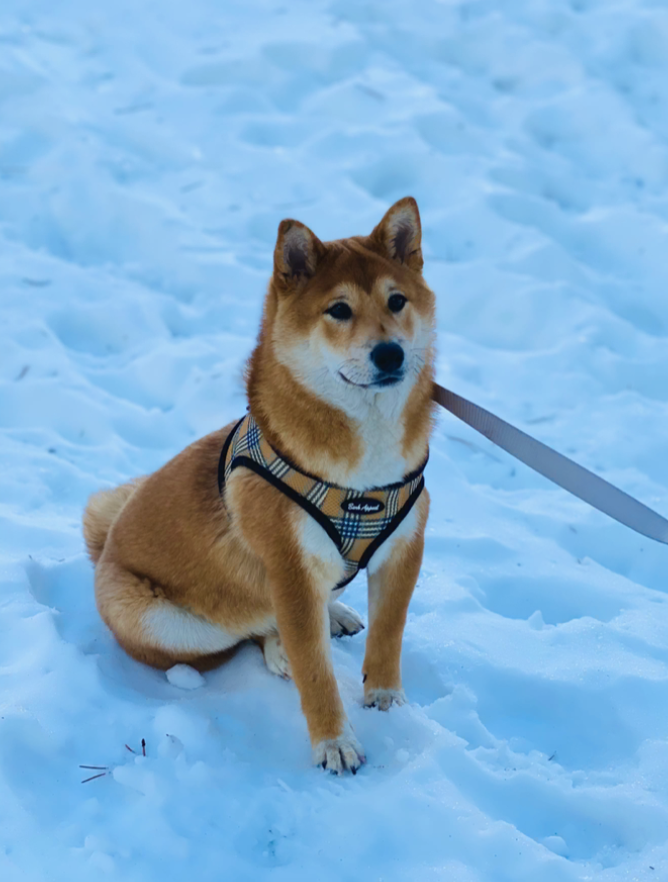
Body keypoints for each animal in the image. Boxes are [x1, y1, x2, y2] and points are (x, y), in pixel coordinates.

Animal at [83, 196, 436, 775]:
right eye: (339, 310)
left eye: (397, 301)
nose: (390, 354)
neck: (363, 470)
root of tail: (105, 545)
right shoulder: (288, 568)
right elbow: (316, 673)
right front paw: (334, 742)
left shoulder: (404, 546)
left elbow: (389, 636)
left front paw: (387, 701)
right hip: (163, 620)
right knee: (251, 630)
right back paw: (281, 647)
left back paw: (331, 614)